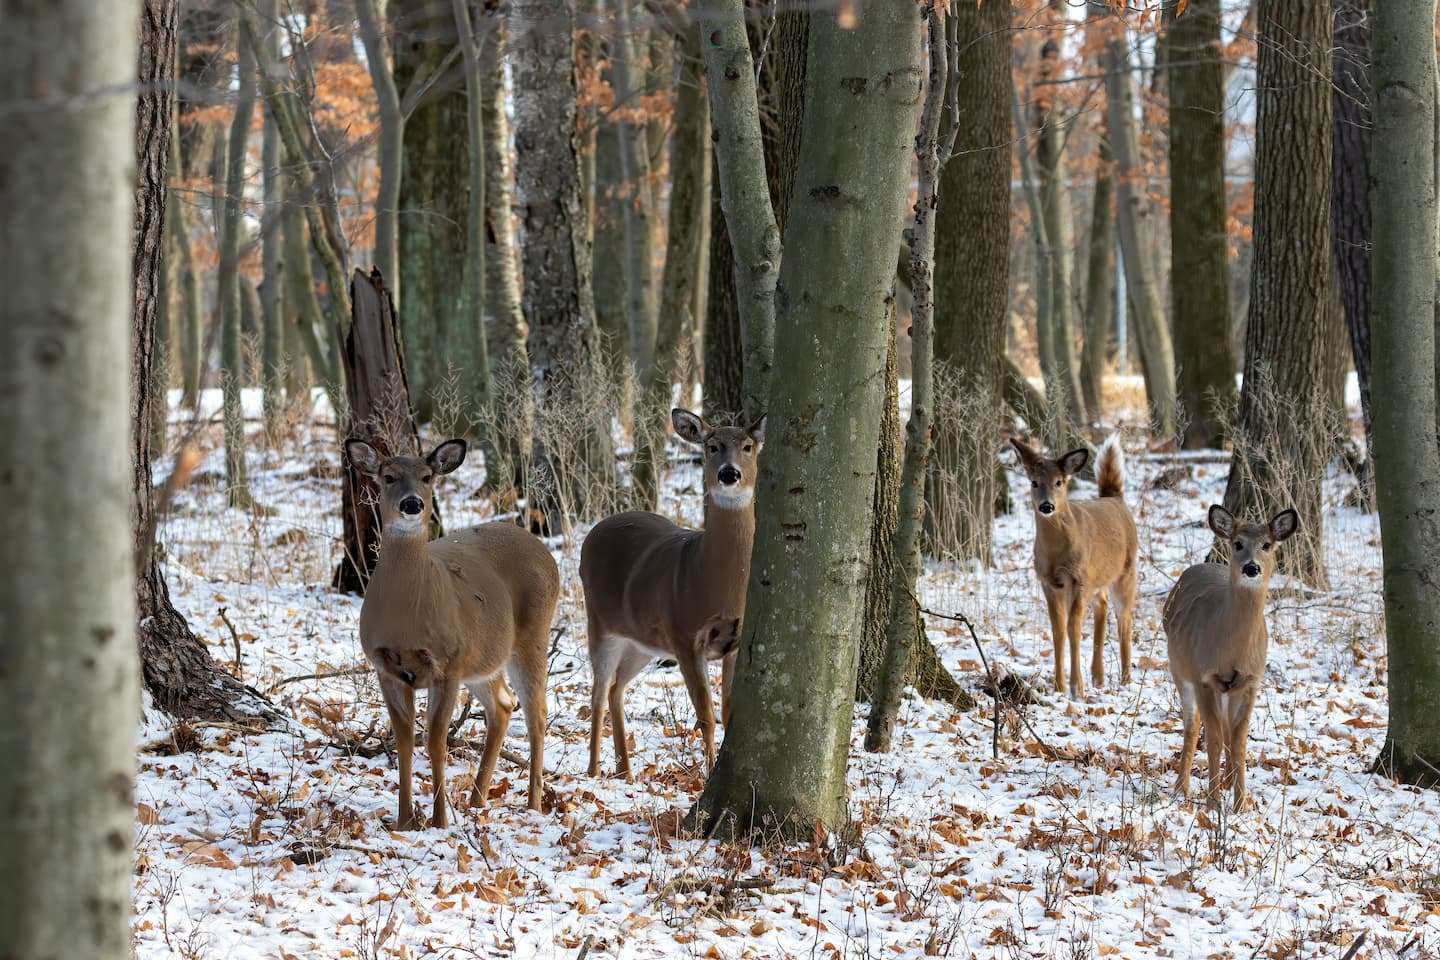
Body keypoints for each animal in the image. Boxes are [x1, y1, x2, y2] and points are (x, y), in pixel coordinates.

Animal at [345, 438, 560, 828]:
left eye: (427, 476)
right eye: (388, 476)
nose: (412, 504)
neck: (407, 618)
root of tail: (543, 550)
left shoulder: (448, 664)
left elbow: (435, 741)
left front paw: (439, 821)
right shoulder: (386, 668)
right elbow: (404, 741)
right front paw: (404, 821)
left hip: (531, 636)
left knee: (536, 713)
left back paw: (534, 804)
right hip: (483, 657)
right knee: (503, 705)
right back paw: (477, 799)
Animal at [579, 408, 764, 780]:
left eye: (748, 446)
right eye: (711, 446)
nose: (729, 473)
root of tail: (593, 532)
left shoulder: (734, 643)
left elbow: (727, 711)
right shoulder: (684, 636)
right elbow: (705, 715)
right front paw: (708, 773)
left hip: (642, 642)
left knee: (617, 689)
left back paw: (625, 771)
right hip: (600, 622)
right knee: (597, 692)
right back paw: (593, 770)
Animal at [1011, 434, 1137, 700]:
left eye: (1059, 482)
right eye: (1034, 482)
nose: (1046, 506)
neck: (1056, 553)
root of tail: (1115, 499)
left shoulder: (1078, 579)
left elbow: (1073, 628)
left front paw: (1076, 688)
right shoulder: (1049, 583)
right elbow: (1057, 630)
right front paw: (1058, 686)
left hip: (1126, 573)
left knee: (1125, 621)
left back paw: (1125, 681)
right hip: (1098, 576)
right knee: (1102, 605)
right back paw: (1098, 677)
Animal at [1164, 504, 1298, 811]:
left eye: (1267, 545)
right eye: (1238, 543)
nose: (1251, 567)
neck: (1231, 648)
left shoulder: (1250, 682)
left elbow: (1238, 742)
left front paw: (1240, 805)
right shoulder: (1204, 677)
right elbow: (1212, 737)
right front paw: (1213, 802)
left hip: (1227, 688)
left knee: (1225, 729)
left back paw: (1225, 784)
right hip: (1179, 667)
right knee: (1193, 726)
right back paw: (1182, 787)